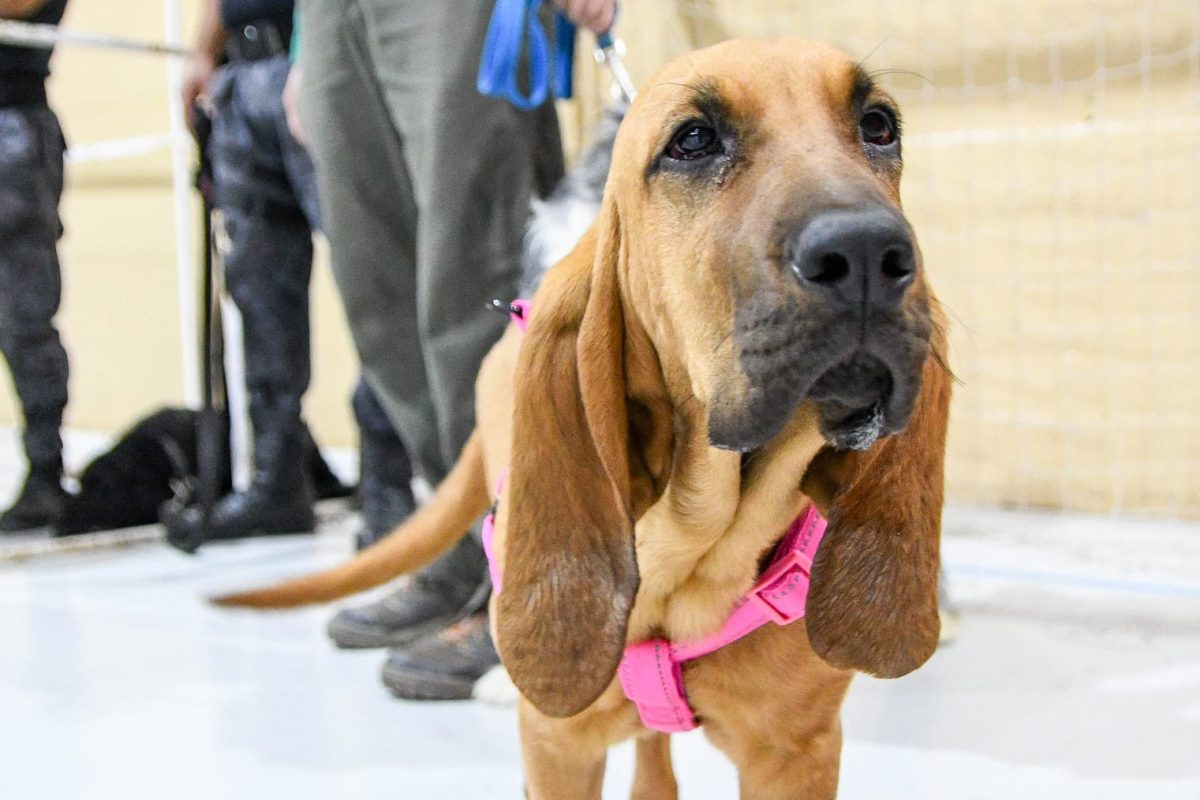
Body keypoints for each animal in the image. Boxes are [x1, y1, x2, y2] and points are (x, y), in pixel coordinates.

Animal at [216, 38, 945, 800]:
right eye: (693, 140)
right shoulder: (557, 749)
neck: (690, 551)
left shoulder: (794, 756)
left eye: (878, 126)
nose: (866, 253)